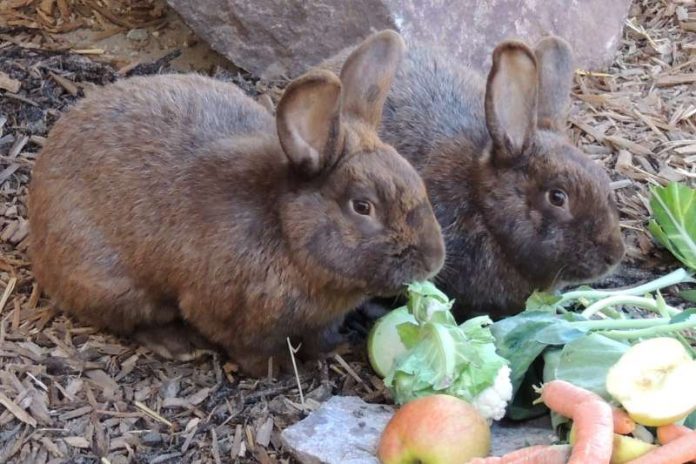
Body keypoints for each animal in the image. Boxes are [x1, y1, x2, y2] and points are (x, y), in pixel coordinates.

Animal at [28, 30, 446, 376]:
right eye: (362, 206)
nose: (433, 260)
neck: (287, 234)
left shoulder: (320, 320)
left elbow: (320, 337)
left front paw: (333, 350)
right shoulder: (232, 318)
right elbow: (253, 352)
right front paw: (279, 371)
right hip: (113, 283)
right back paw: (179, 345)